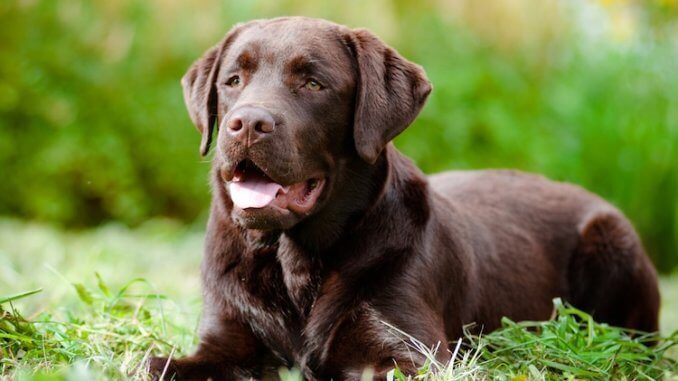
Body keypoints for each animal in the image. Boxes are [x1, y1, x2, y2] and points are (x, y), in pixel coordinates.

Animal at [147, 17, 660, 380]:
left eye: (313, 83)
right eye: (233, 80)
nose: (247, 124)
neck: (294, 261)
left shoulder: (408, 351)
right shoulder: (223, 338)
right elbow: (160, 364)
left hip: (613, 242)